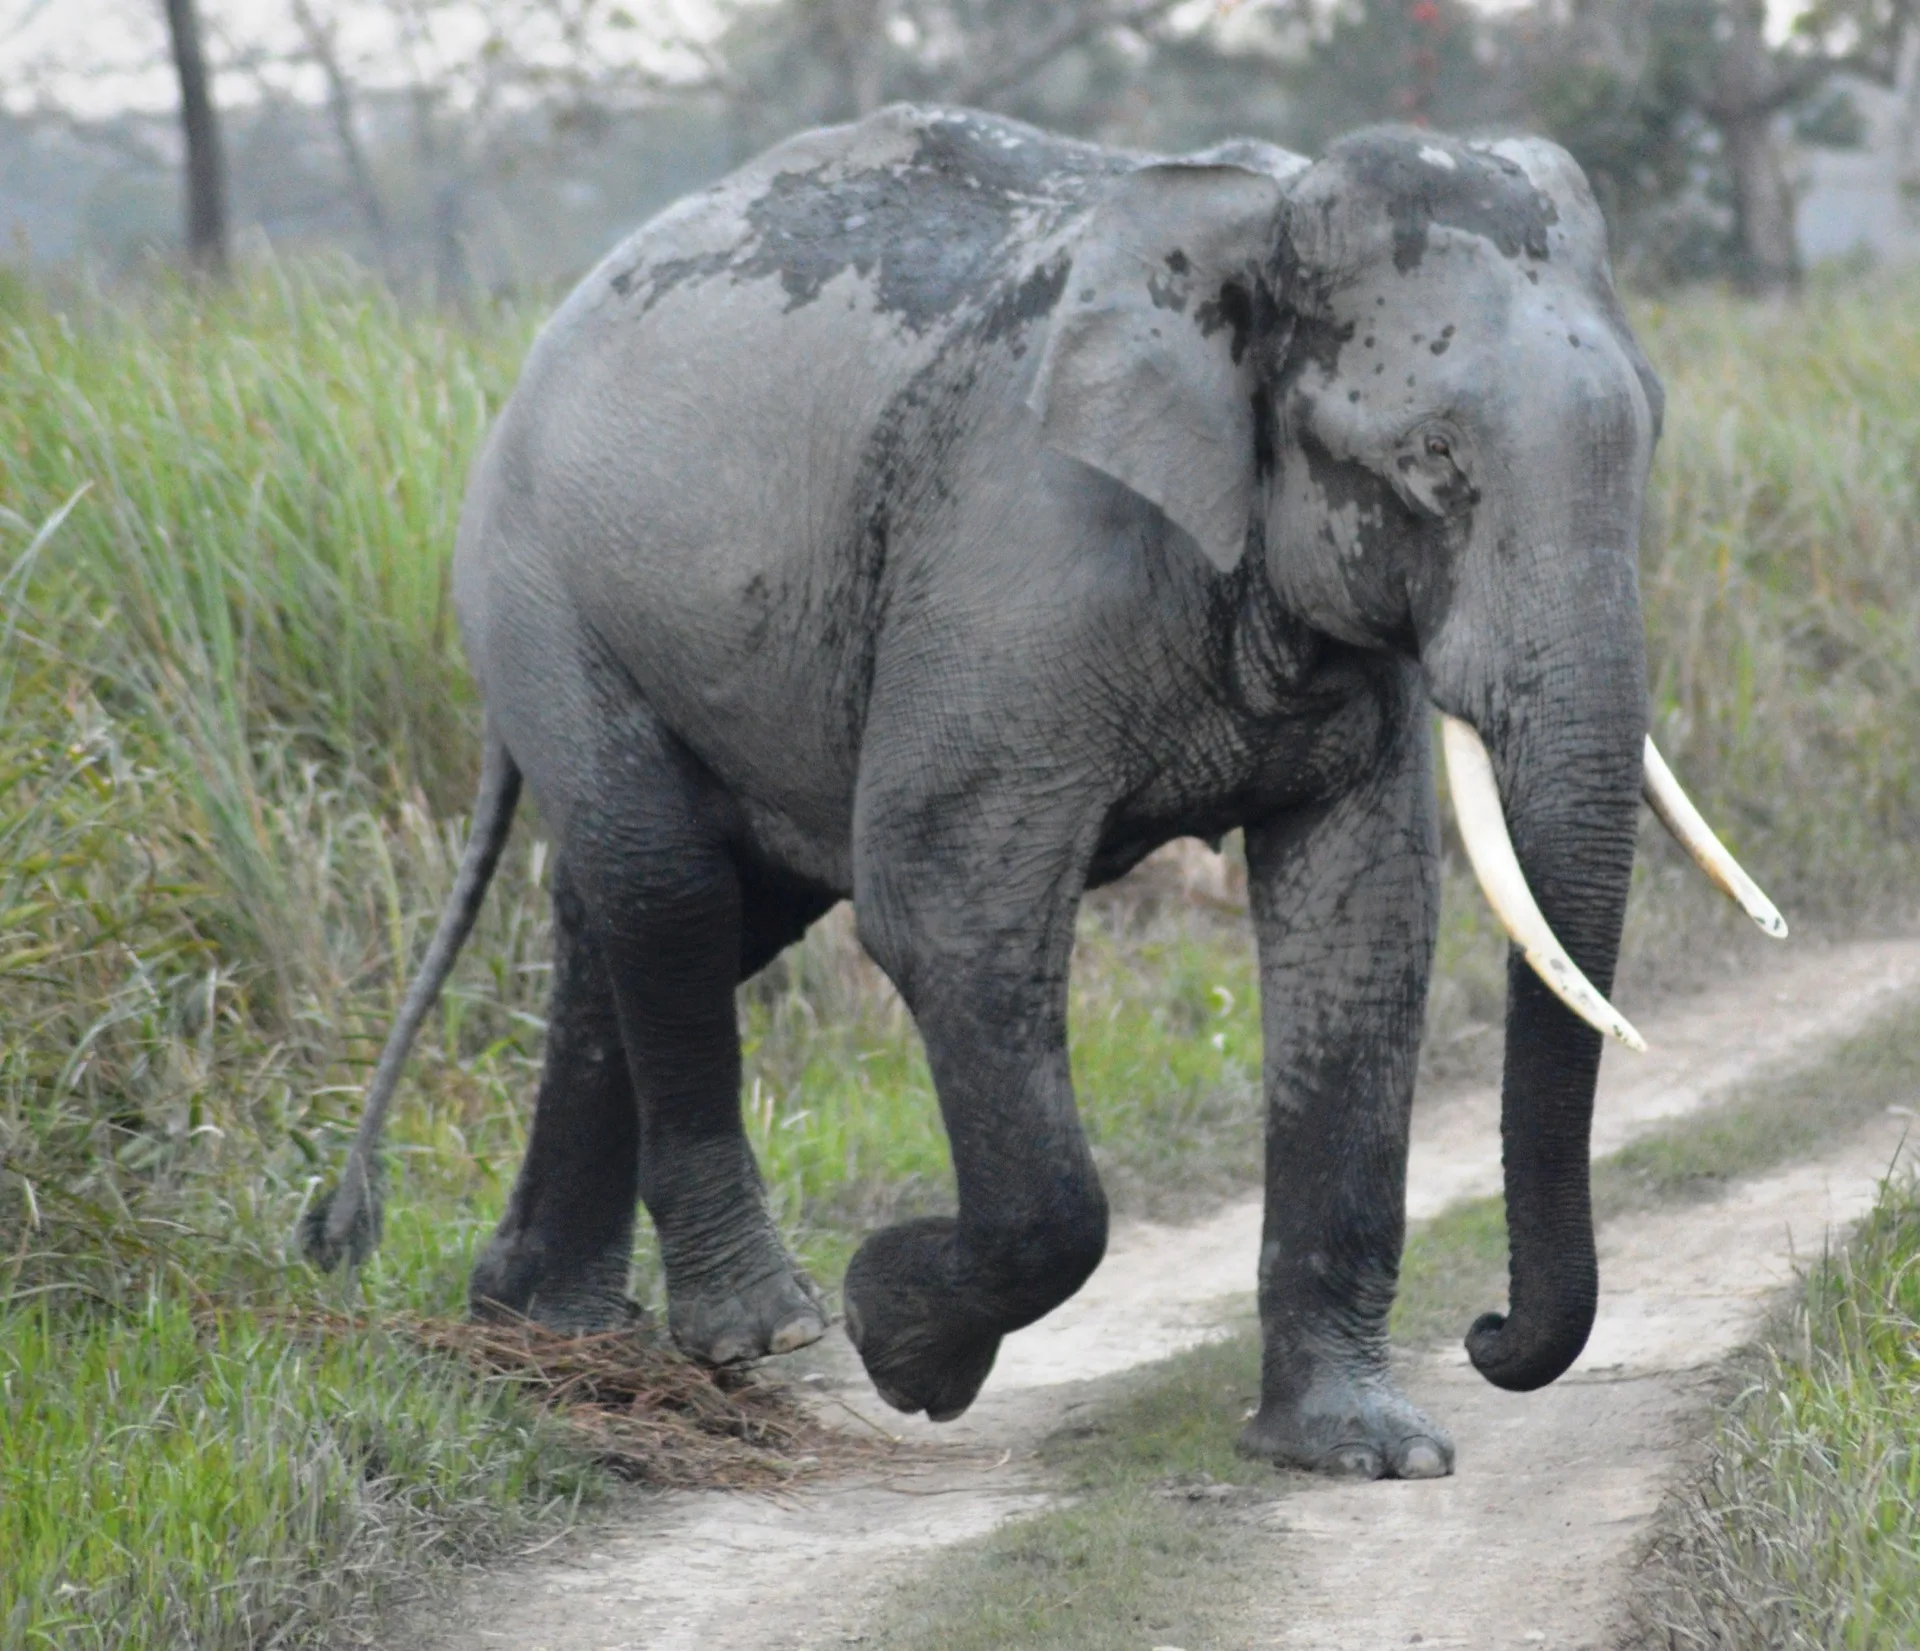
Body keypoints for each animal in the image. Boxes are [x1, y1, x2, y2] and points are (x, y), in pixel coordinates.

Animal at [304, 106, 1784, 1479]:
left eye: (1652, 433)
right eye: (1430, 464)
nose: (1484, 1333)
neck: (1258, 223)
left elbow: (1361, 924)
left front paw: (1364, 1450)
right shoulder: (1019, 563)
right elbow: (945, 903)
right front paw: (900, 1342)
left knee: (664, 916)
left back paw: (540, 1327)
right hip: (540, 588)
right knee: (666, 893)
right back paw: (760, 1326)